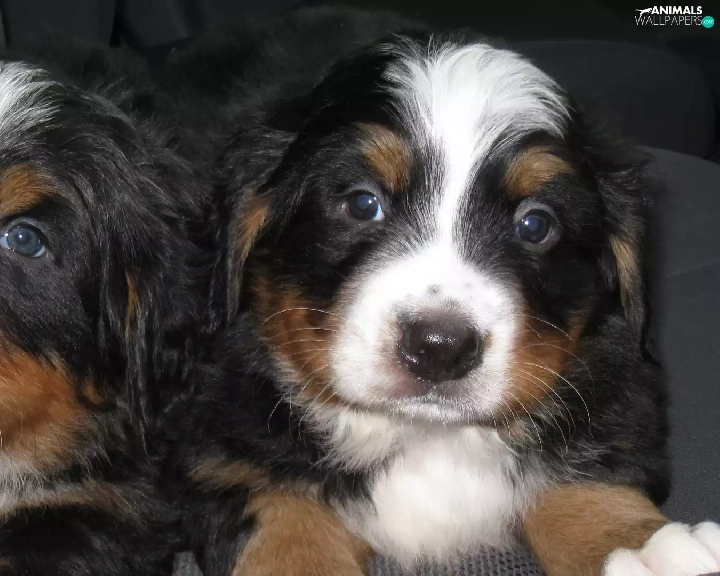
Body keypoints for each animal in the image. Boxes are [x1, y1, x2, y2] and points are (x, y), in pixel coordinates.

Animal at [163, 8, 720, 576]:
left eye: (536, 225)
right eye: (362, 203)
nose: (439, 347)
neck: (424, 436)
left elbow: (585, 472)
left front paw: (642, 549)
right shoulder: (219, 440)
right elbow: (285, 522)